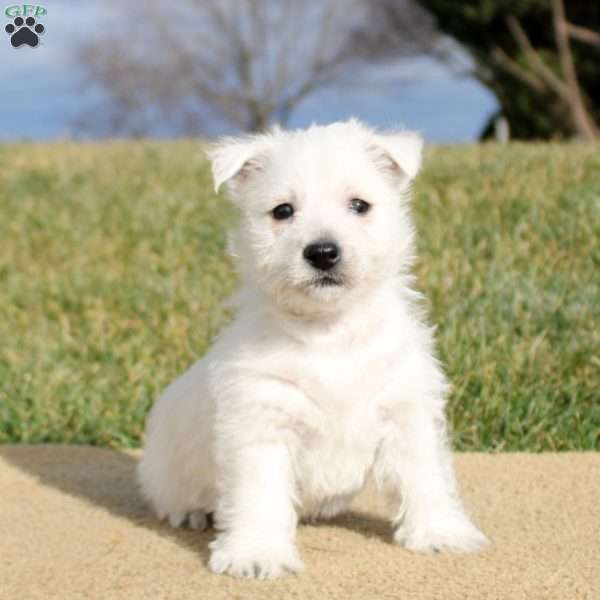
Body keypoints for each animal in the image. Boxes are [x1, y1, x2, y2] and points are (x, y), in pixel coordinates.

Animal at [139, 120, 488, 576]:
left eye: (359, 205)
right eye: (282, 211)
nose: (322, 253)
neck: (330, 331)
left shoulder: (405, 411)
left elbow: (425, 476)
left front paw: (441, 532)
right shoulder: (261, 422)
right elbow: (259, 495)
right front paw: (257, 554)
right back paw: (192, 513)